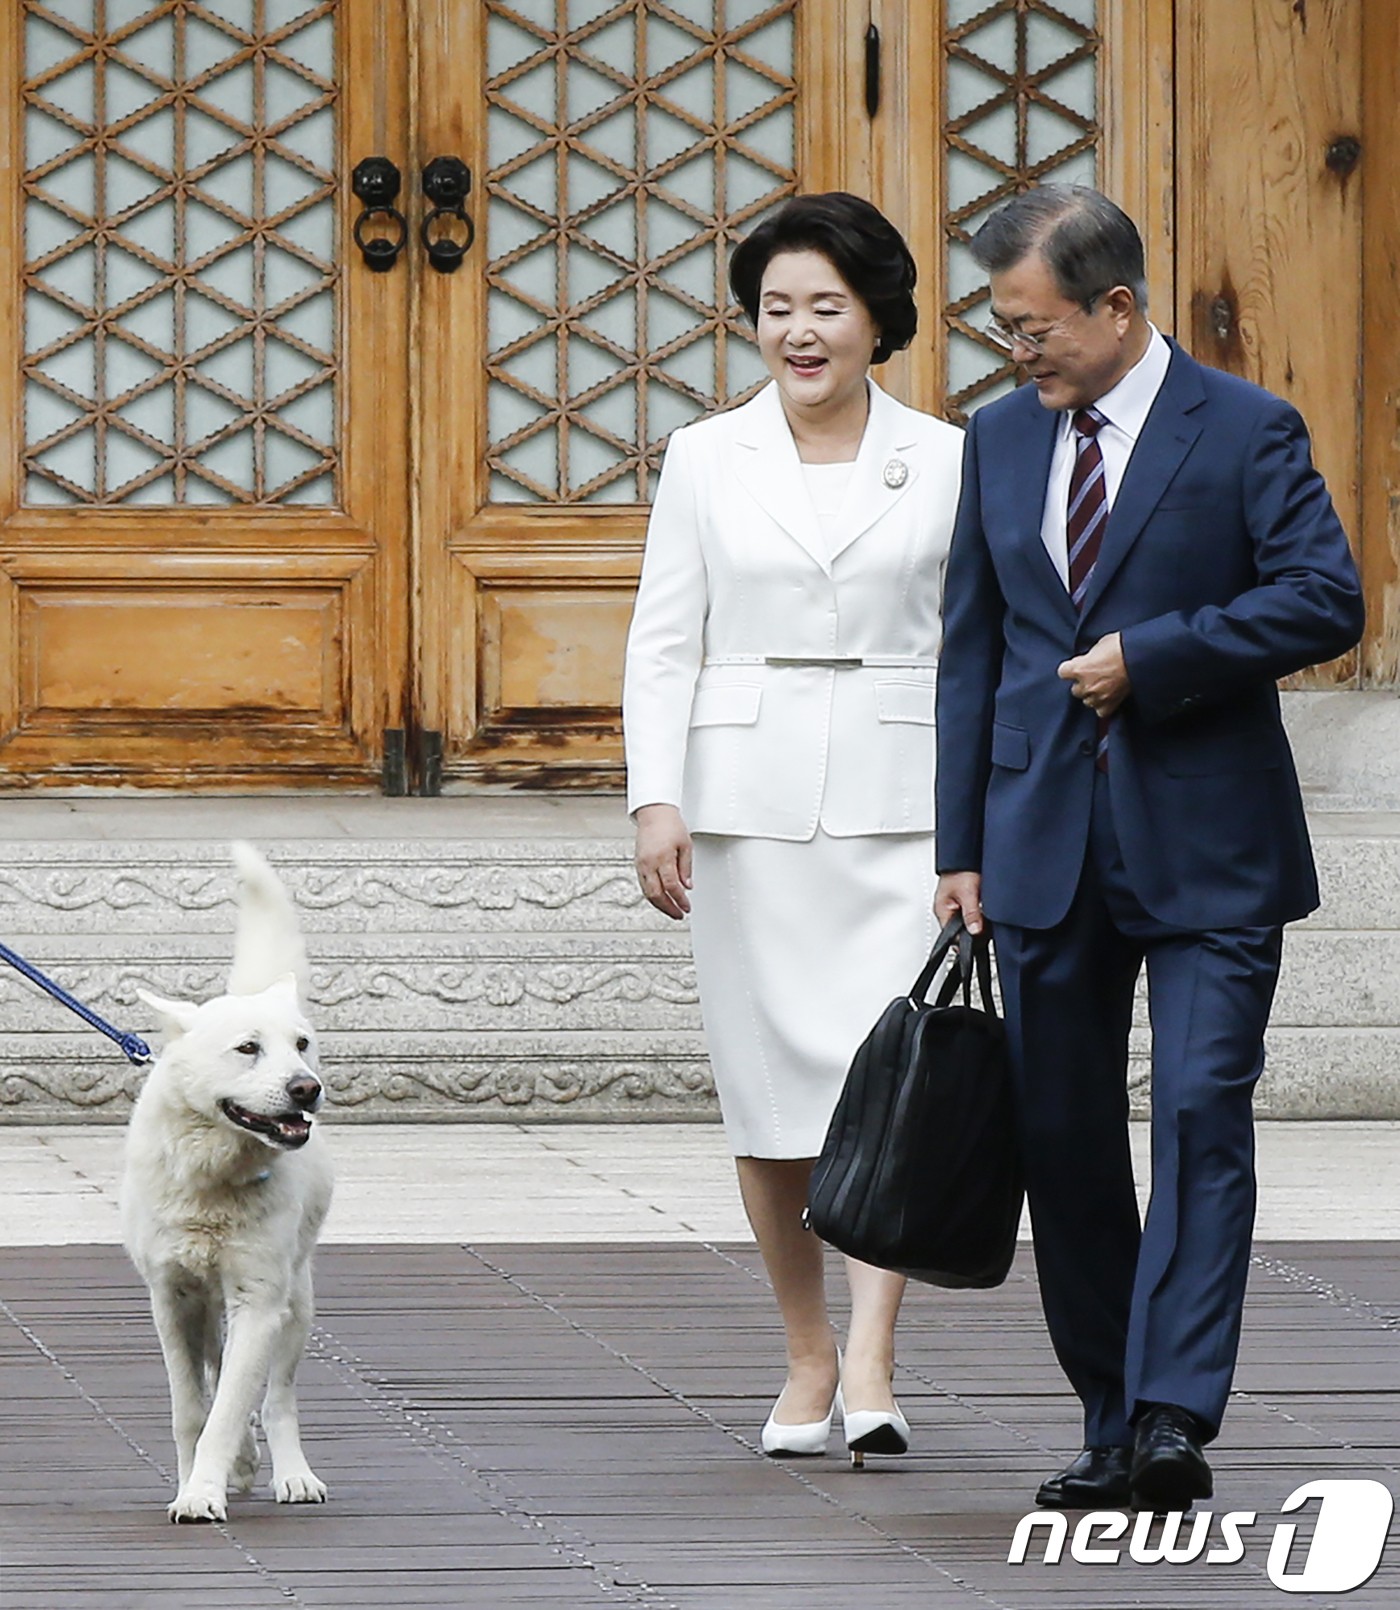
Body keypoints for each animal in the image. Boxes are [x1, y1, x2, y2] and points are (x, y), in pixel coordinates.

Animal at [120, 843, 334, 1519]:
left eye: (301, 1044)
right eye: (247, 1049)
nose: (308, 1089)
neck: (212, 1179)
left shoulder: (259, 1301)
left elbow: (233, 1406)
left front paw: (204, 1492)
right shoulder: (171, 1298)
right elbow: (192, 1410)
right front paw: (195, 1480)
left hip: (296, 1304)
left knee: (278, 1398)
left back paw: (293, 1476)